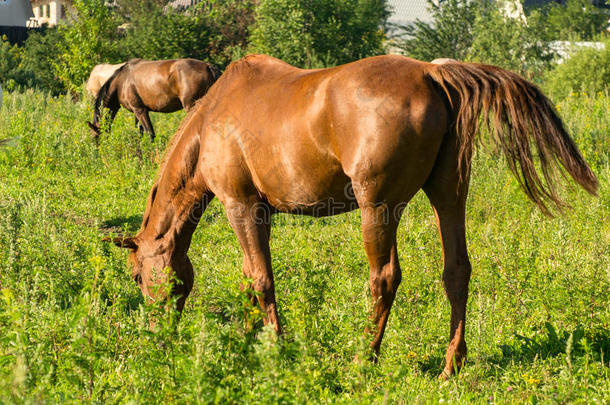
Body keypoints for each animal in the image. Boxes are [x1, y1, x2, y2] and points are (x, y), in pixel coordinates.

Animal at [85, 57, 218, 141]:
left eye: (94, 137)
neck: (121, 81)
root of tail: (207, 66)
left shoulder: (140, 110)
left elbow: (150, 134)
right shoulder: (137, 112)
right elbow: (139, 134)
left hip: (191, 106)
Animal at [104, 54, 592, 378]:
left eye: (137, 275)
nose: (158, 335)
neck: (211, 123)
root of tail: (432, 72)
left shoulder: (241, 206)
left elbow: (261, 278)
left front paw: (274, 347)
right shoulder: (257, 212)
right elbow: (248, 278)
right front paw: (247, 339)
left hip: (377, 208)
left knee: (385, 278)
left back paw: (365, 357)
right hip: (447, 196)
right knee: (456, 270)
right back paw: (451, 365)